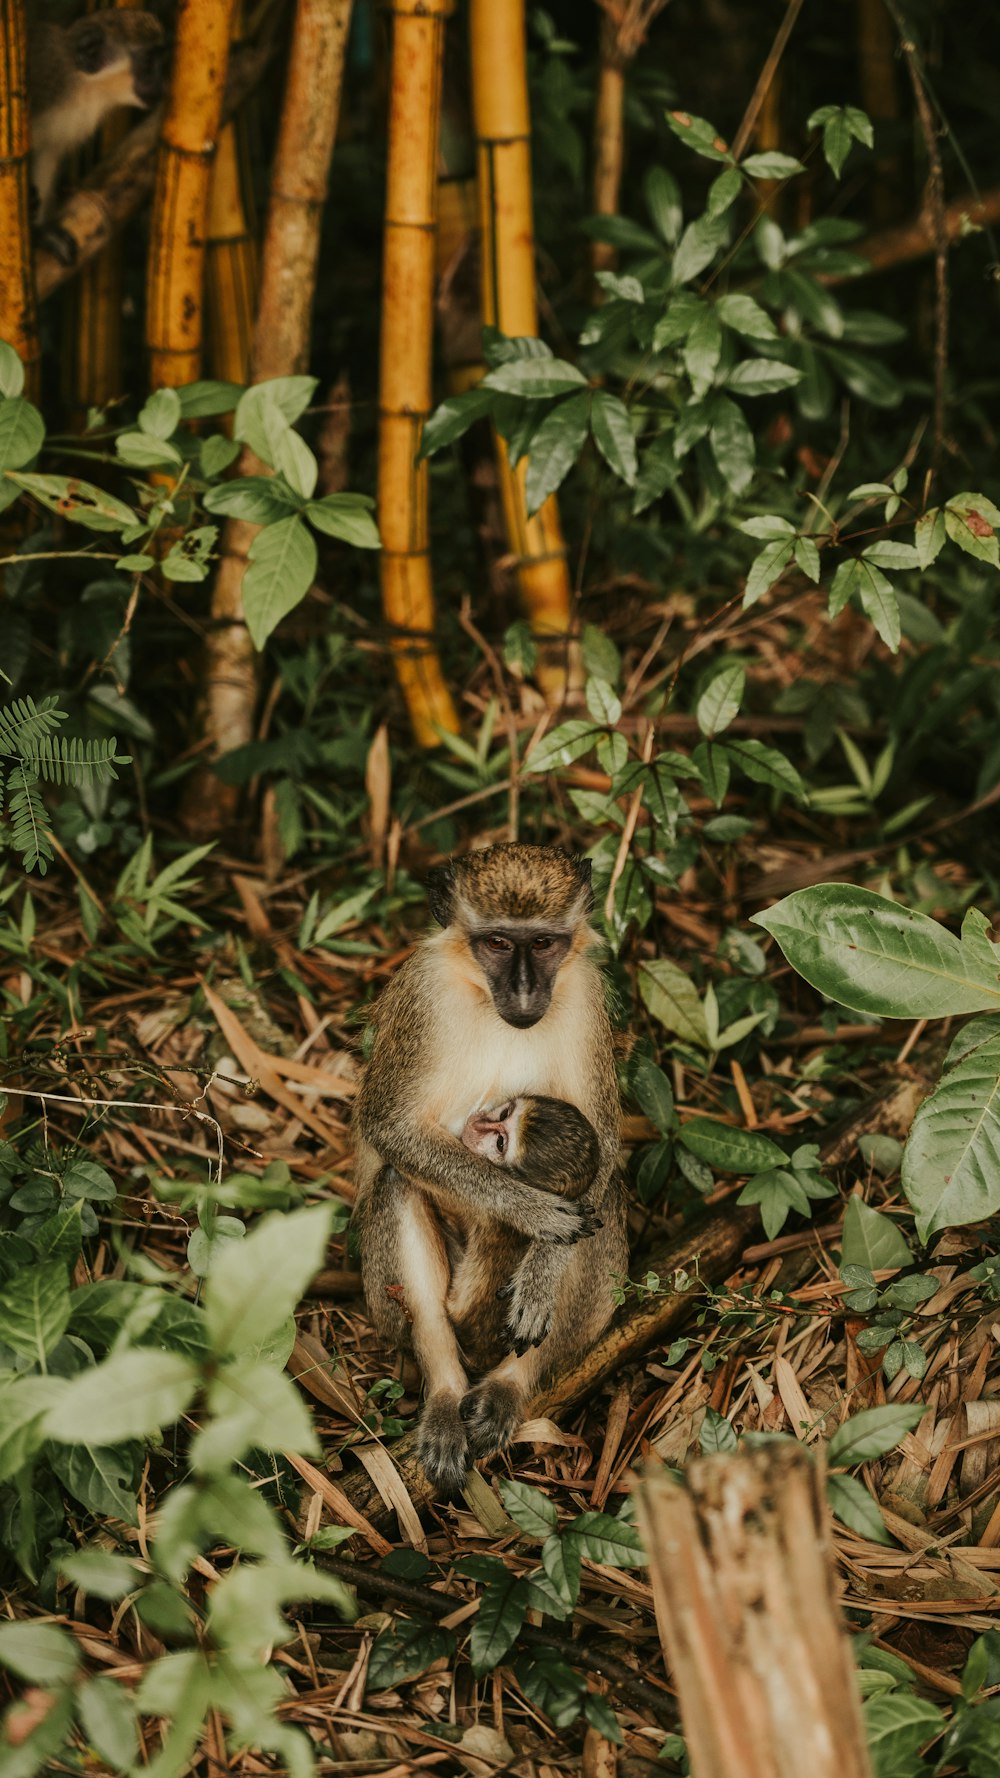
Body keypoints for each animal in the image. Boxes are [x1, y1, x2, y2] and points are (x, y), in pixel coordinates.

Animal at [350, 846, 622, 1500]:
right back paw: (447, 1391)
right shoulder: (422, 996)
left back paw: (510, 1382)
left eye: (543, 944)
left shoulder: (585, 994)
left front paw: (540, 1273)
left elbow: (604, 1143)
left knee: (602, 1208)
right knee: (396, 1183)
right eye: (497, 942)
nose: (524, 989)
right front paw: (536, 1214)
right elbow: (391, 1129)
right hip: (385, 1305)